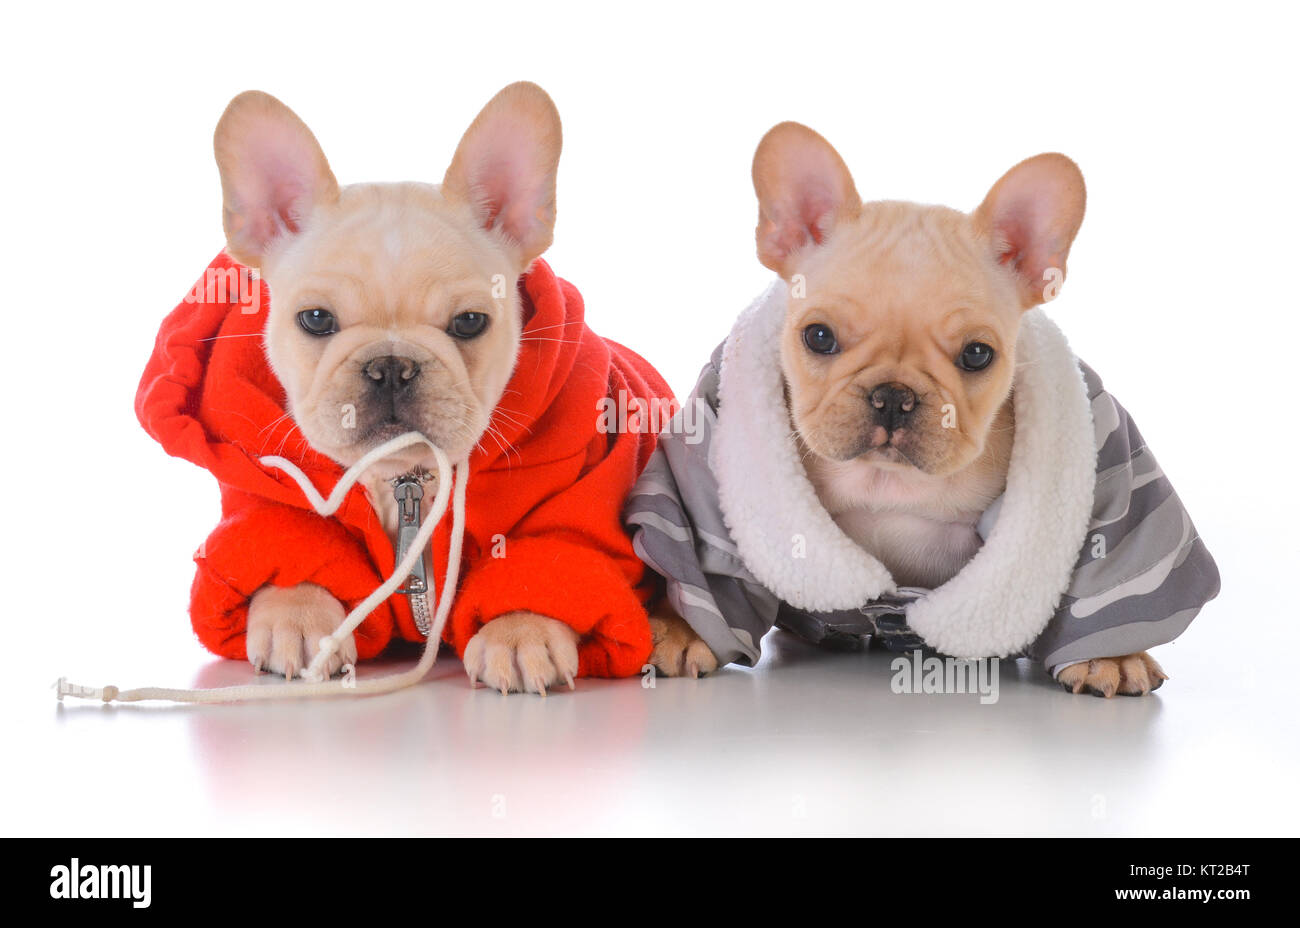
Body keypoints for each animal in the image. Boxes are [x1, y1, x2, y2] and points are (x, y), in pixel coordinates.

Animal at [134, 83, 681, 691]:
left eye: (469, 323)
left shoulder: (573, 494)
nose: (391, 366)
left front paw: (521, 630)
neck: (400, 476)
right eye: (315, 319)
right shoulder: (269, 501)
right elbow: (293, 544)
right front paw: (296, 612)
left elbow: (548, 553)